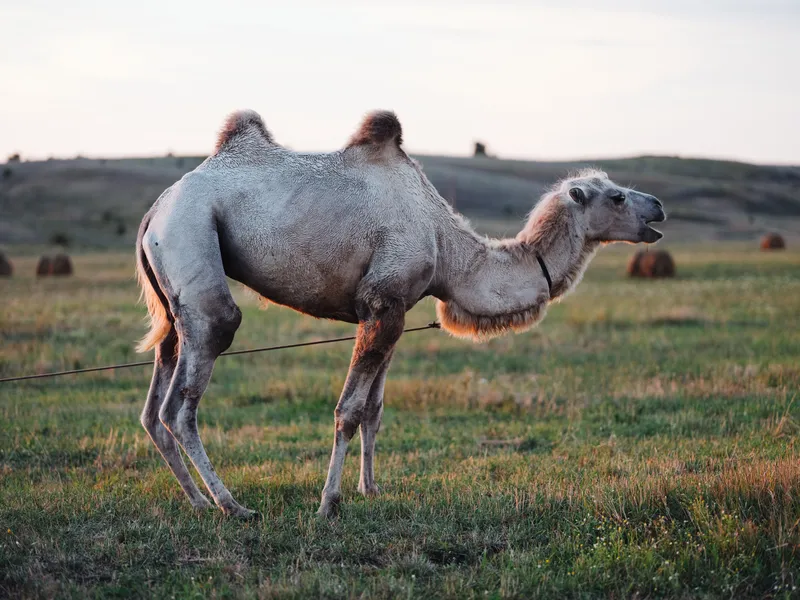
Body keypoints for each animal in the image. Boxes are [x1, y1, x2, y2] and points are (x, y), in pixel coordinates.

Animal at [135, 109, 666, 519]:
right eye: (617, 195)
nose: (658, 206)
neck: (448, 250)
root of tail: (156, 210)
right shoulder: (383, 300)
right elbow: (349, 410)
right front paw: (328, 503)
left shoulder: (395, 312)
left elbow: (374, 409)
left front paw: (371, 490)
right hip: (192, 238)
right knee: (184, 396)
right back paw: (231, 505)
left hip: (173, 297)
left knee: (156, 398)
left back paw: (198, 503)